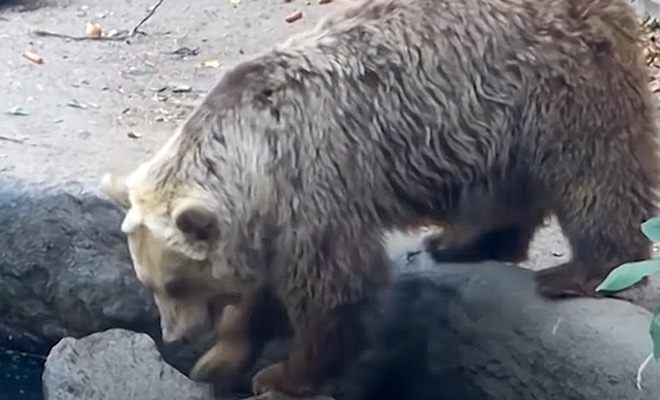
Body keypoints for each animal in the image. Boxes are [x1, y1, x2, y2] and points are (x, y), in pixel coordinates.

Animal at [99, 0, 660, 396]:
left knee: (595, 171)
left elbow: (332, 292)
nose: (175, 336)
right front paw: (220, 358)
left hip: (557, 81)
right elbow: (264, 292)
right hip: (495, 120)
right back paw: (462, 241)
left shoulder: (316, 186)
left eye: (175, 283)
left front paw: (283, 373)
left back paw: (580, 271)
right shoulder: (275, 216)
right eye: (150, 281)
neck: (255, 159)